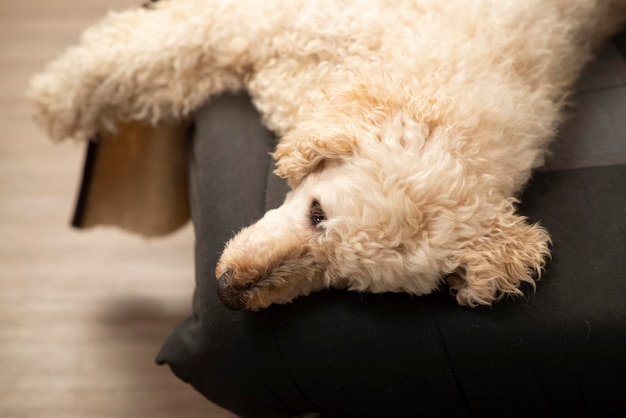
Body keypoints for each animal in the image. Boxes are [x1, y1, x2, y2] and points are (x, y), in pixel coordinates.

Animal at [29, 0, 624, 310]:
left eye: (344, 280)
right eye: (316, 212)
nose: (228, 293)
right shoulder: (260, 19)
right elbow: (144, 50)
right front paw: (53, 99)